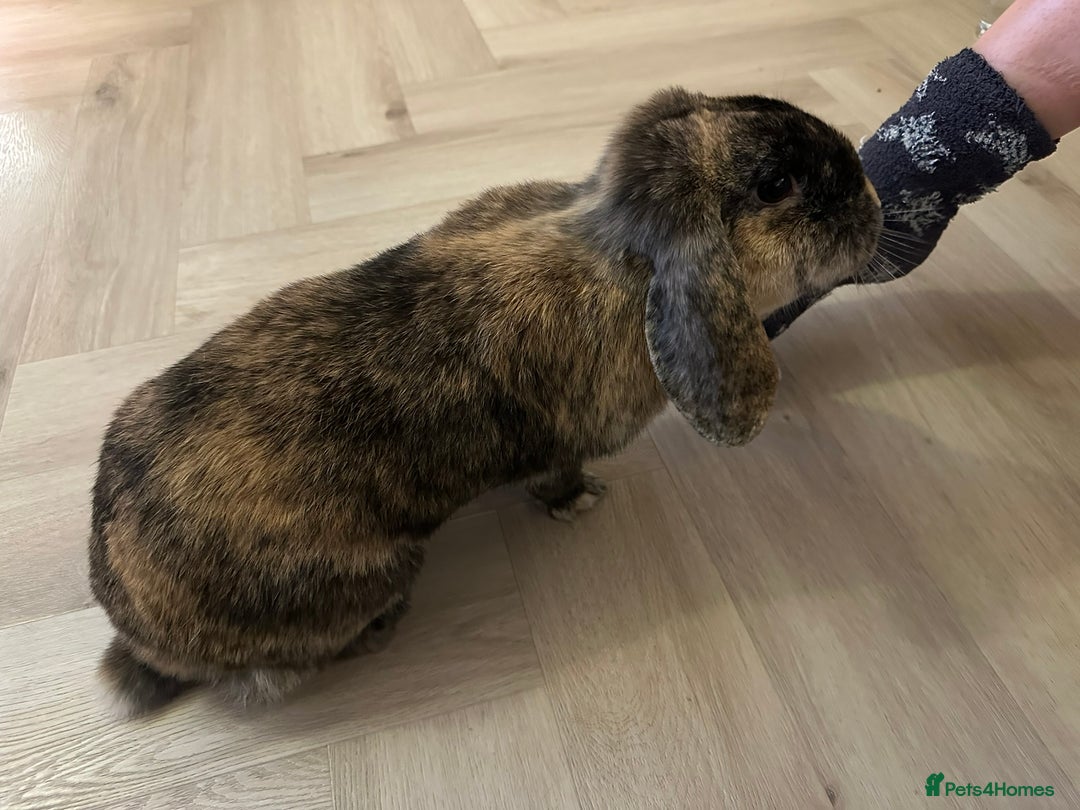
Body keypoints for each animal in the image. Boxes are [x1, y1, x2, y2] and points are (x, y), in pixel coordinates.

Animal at [89, 86, 882, 718]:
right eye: (776, 183)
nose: (873, 199)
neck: (618, 253)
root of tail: (138, 633)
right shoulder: (561, 446)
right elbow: (557, 477)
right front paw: (581, 502)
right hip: (372, 573)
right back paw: (380, 629)